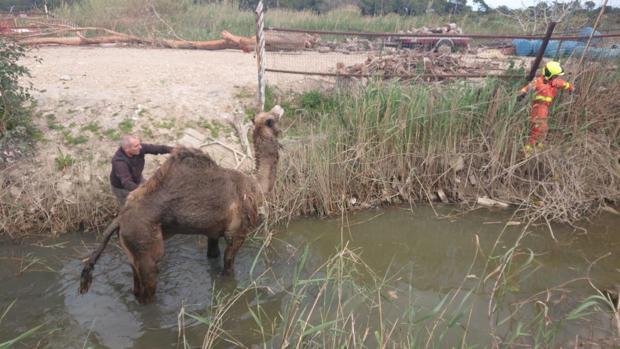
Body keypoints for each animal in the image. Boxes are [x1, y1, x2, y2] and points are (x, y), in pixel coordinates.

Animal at [77, 105, 284, 302]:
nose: (279, 108)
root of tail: (119, 220)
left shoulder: (213, 231)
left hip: (131, 251)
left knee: (135, 283)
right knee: (148, 286)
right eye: (272, 119)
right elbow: (228, 267)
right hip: (145, 245)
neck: (255, 187)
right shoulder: (237, 233)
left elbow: (213, 256)